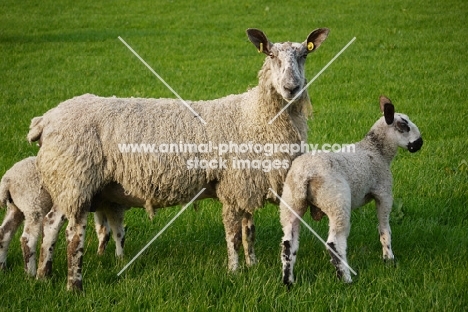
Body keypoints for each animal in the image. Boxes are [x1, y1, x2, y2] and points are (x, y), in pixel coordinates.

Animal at [0, 156, 128, 276]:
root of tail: (7, 180)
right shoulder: (115, 206)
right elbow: (119, 233)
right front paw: (120, 259)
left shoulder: (101, 207)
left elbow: (104, 231)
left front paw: (100, 255)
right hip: (34, 205)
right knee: (27, 239)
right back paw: (30, 273)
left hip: (15, 208)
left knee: (4, 233)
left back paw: (3, 267)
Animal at [28, 28, 330, 292]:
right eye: (271, 55)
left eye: (304, 55)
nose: (291, 88)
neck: (252, 116)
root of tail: (46, 119)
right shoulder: (232, 185)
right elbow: (233, 234)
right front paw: (235, 271)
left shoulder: (245, 184)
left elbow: (249, 230)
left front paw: (252, 265)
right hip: (75, 178)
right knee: (72, 234)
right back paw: (74, 285)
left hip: (64, 182)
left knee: (51, 224)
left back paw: (44, 275)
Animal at [280, 95, 422, 286]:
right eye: (403, 126)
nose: (419, 143)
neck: (376, 150)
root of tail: (305, 174)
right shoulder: (384, 193)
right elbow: (385, 229)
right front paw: (388, 258)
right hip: (337, 201)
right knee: (334, 243)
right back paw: (346, 279)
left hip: (291, 203)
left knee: (289, 242)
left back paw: (288, 281)